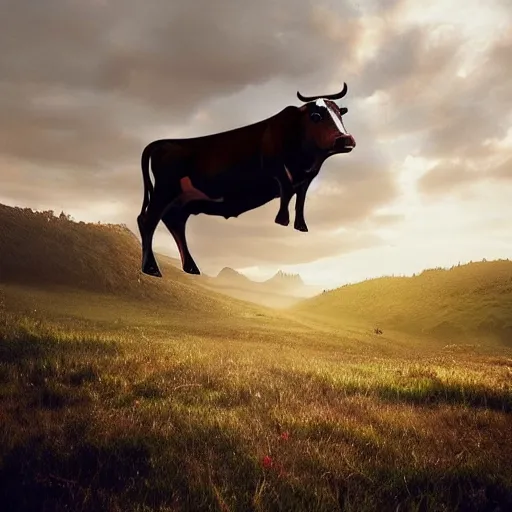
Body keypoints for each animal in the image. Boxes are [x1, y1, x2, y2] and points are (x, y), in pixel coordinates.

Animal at [138, 84, 358, 278]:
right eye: (316, 116)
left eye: (339, 114)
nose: (346, 139)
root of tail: (161, 143)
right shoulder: (280, 172)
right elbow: (286, 193)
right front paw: (282, 221)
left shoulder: (306, 179)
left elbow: (300, 201)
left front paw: (301, 226)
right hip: (164, 191)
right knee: (147, 220)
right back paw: (151, 268)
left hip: (183, 200)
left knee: (175, 222)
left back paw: (191, 267)